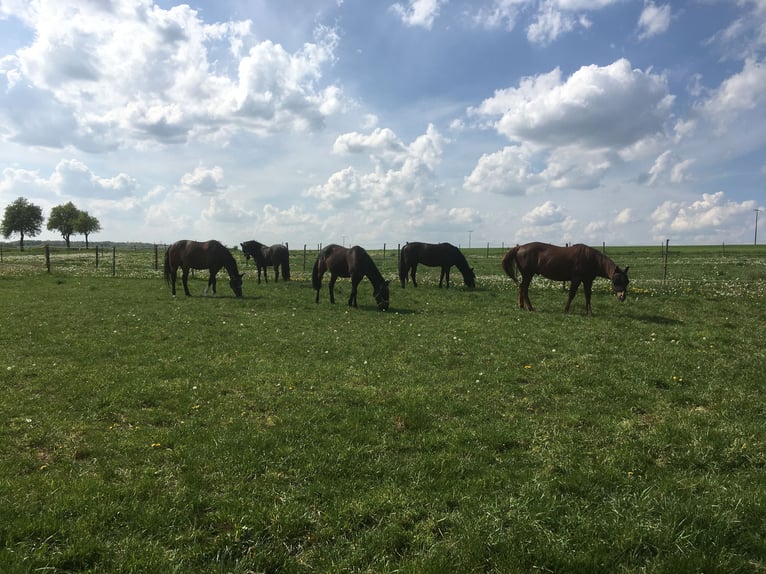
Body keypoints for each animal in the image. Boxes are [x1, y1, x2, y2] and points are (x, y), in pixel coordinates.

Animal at [500, 242, 632, 318]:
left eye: (627, 282)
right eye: (615, 281)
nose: (622, 297)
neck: (591, 258)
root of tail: (519, 247)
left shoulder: (588, 280)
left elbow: (588, 295)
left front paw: (589, 312)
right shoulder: (576, 279)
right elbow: (571, 294)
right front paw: (566, 310)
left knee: (521, 288)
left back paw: (522, 306)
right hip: (528, 274)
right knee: (524, 288)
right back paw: (530, 308)